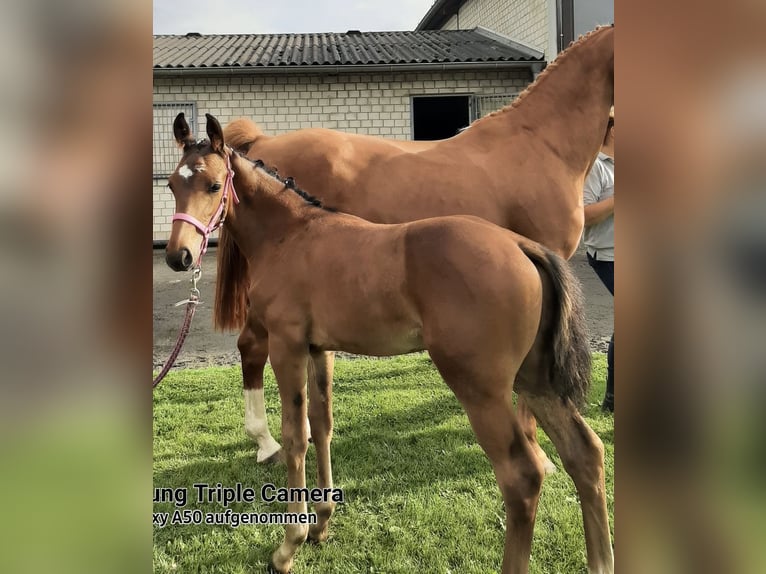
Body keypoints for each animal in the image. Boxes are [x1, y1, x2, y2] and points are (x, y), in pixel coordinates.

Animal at [165, 112, 616, 574]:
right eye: (171, 185)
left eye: (214, 186)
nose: (179, 256)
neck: (291, 236)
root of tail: (522, 246)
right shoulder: (318, 349)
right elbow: (322, 427)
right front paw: (322, 523)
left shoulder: (287, 346)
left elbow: (296, 435)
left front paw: (290, 543)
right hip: (535, 378)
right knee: (586, 454)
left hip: (480, 386)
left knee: (521, 476)